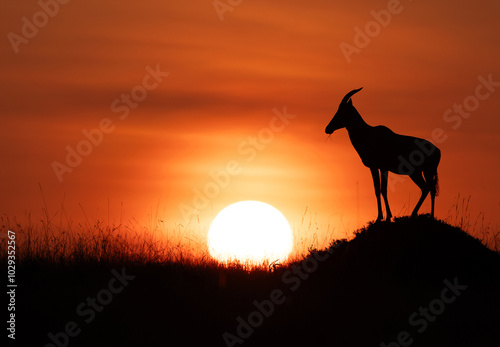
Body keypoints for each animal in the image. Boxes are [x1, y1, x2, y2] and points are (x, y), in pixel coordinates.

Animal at [328, 88, 442, 222]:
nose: (327, 128)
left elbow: (380, 189)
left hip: (419, 173)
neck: (368, 134)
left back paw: (415, 214)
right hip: (424, 172)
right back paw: (430, 216)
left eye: (342, 111)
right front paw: (386, 216)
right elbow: (381, 189)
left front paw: (382, 217)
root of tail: (437, 150)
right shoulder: (382, 168)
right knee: (430, 189)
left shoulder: (377, 167)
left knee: (427, 188)